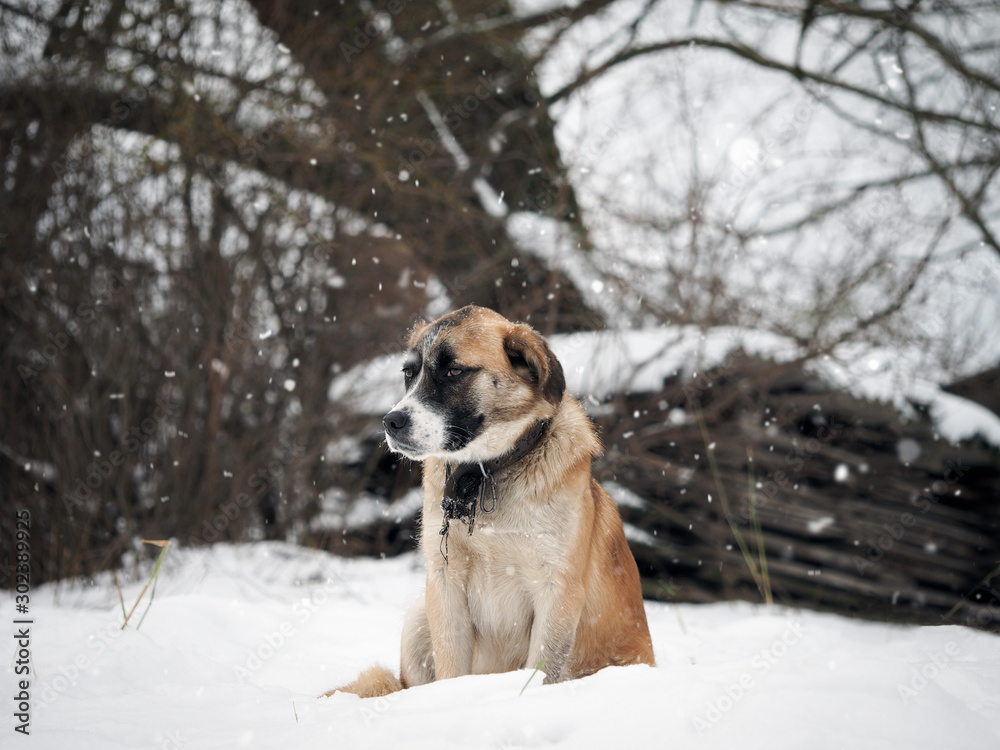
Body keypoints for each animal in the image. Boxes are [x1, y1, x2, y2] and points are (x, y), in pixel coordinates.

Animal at [328, 305, 654, 698]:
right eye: (409, 373)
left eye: (453, 371)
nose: (391, 422)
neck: (484, 475)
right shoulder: (446, 583)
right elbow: (450, 668)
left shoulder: (557, 590)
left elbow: (542, 668)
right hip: (418, 616)